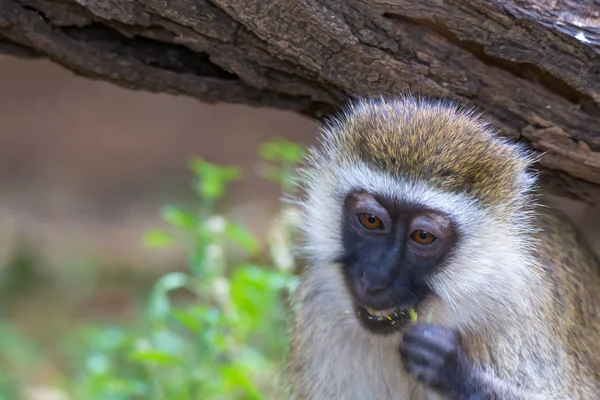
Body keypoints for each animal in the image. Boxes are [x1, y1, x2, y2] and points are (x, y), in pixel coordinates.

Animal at [286, 97, 600, 400]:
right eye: (371, 220)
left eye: (423, 236)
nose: (375, 278)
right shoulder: (321, 310)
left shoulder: (519, 320)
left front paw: (456, 374)